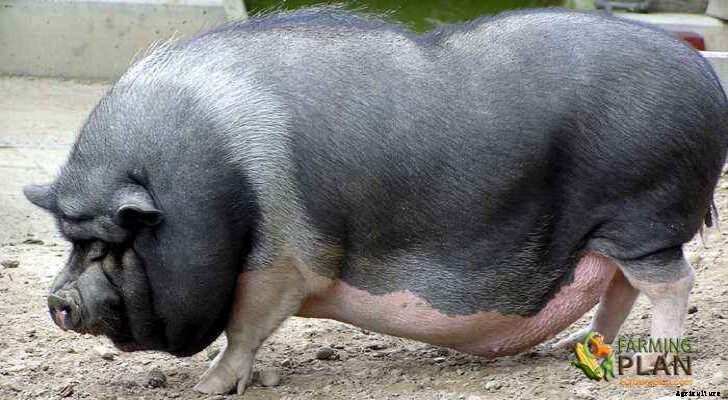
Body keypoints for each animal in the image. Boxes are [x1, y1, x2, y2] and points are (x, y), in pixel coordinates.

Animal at [24, 7, 727, 395]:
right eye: (70, 240)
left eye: (111, 242)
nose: (58, 301)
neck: (217, 182)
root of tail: (704, 75)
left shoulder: (283, 262)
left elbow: (244, 329)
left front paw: (207, 387)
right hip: (612, 230)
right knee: (619, 286)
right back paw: (576, 348)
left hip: (644, 213)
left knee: (671, 283)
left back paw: (651, 363)